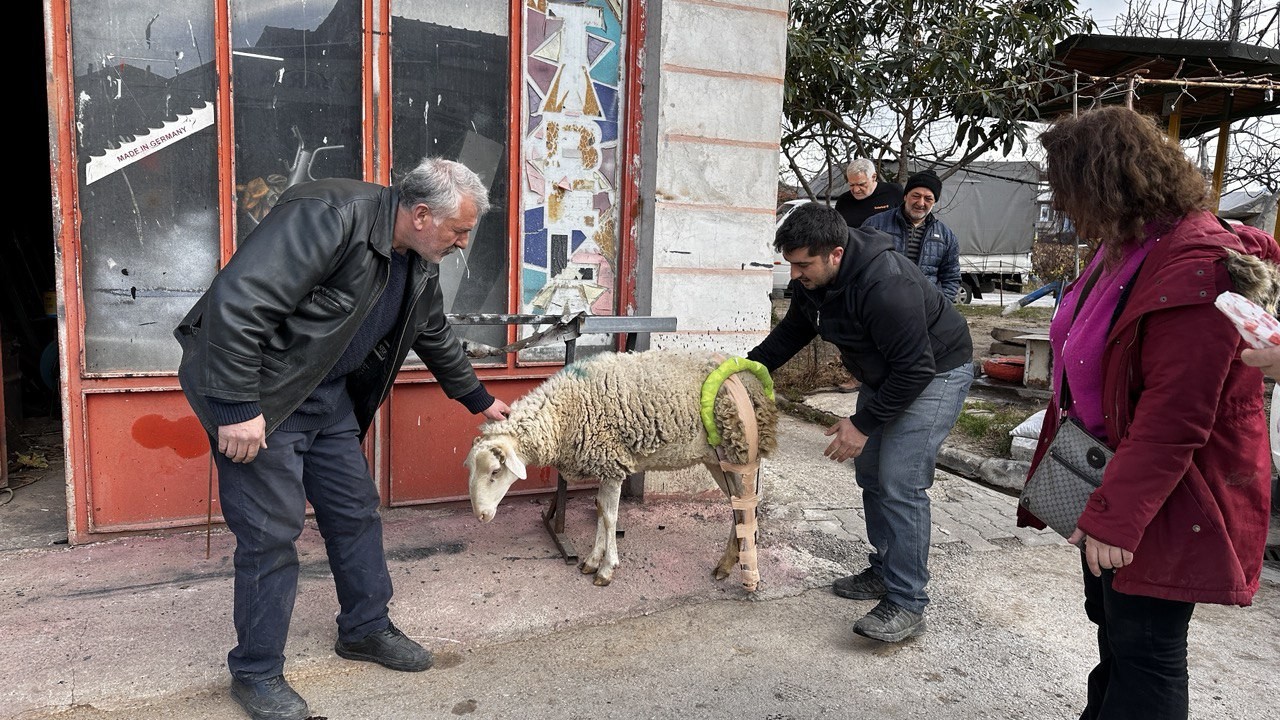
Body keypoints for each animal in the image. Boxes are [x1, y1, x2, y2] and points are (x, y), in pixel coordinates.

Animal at [465, 348, 773, 589]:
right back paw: (728, 563)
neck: (563, 415)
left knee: (745, 504)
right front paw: (592, 560)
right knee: (738, 505)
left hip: (738, 451)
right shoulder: (605, 464)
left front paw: (606, 568)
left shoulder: (612, 463)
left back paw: (745, 568)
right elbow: (602, 511)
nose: (481, 515)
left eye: (495, 472)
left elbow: (611, 517)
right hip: (715, 460)